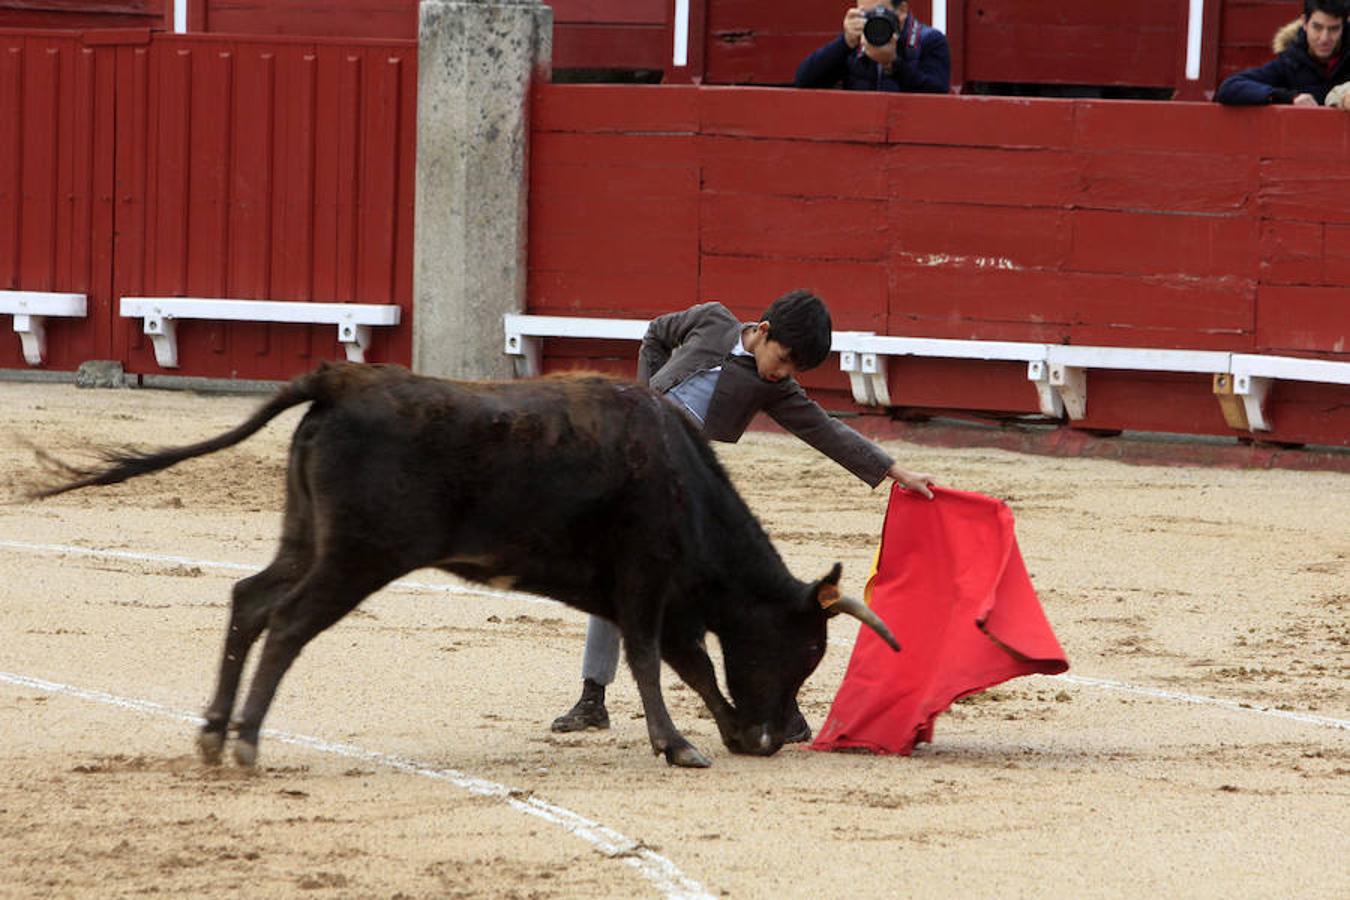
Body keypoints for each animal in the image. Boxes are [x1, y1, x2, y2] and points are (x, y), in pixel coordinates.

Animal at [29, 361, 896, 771]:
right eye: (807, 649)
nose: (781, 735)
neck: (682, 473)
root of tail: (341, 379)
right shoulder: (647, 579)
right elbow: (658, 661)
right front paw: (681, 743)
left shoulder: (656, 595)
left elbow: (689, 665)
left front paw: (713, 733)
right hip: (356, 558)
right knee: (287, 624)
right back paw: (243, 742)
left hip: (306, 539)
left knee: (250, 600)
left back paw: (213, 734)